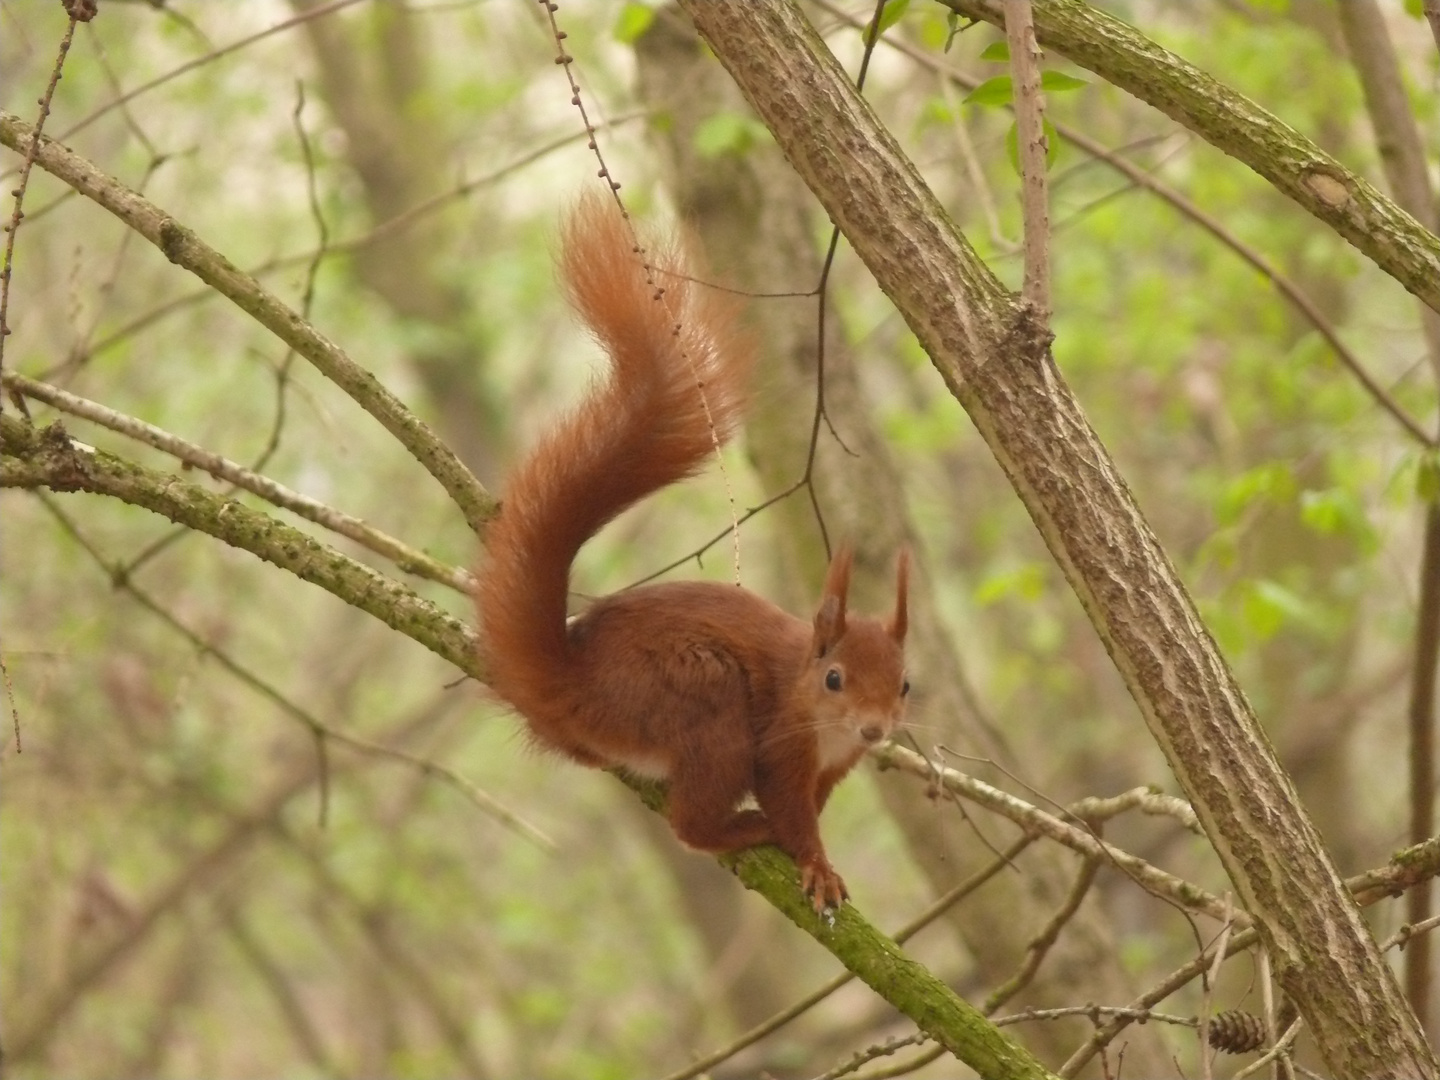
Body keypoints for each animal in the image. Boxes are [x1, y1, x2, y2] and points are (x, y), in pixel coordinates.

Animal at [483, 197, 910, 915]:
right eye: (833, 679)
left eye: (906, 684)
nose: (877, 730)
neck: (829, 733)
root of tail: (573, 686)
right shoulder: (779, 746)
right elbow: (792, 812)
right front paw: (816, 863)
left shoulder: (834, 768)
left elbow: (816, 805)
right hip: (706, 701)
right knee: (690, 826)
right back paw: (737, 829)